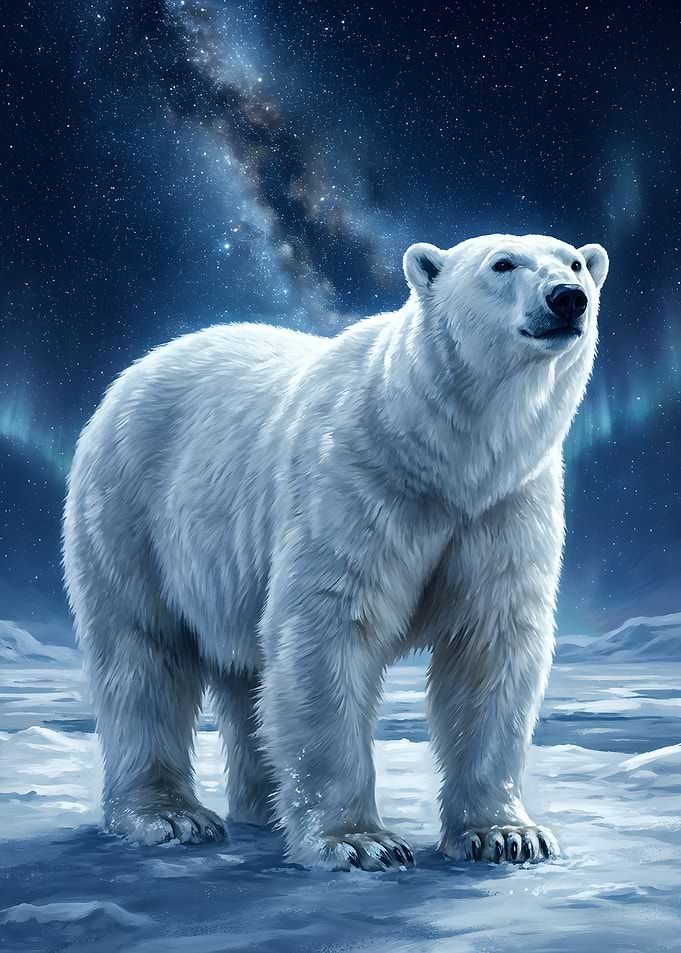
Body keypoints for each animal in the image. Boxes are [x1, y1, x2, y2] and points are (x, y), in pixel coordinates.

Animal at [63, 233, 608, 870]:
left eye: (576, 262)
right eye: (502, 264)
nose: (567, 298)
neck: (440, 455)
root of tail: (136, 369)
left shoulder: (505, 506)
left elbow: (491, 646)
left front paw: (507, 835)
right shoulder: (354, 482)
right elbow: (326, 631)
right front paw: (360, 841)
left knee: (245, 676)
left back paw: (262, 807)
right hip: (131, 513)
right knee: (142, 656)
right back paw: (170, 816)